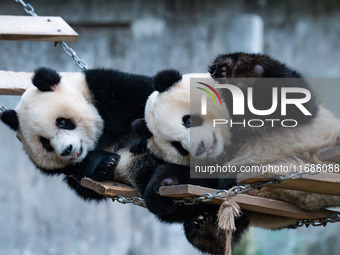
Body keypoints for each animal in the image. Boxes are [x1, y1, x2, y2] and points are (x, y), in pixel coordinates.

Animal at [0, 66, 155, 200]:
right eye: (46, 143)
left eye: (62, 122)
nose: (67, 150)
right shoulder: (72, 173)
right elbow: (85, 185)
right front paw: (104, 162)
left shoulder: (108, 88)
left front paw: (142, 141)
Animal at [131, 51, 340, 253]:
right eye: (179, 147)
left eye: (187, 120)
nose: (200, 148)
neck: (231, 138)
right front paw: (162, 186)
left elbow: (294, 99)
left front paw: (236, 70)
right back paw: (207, 231)